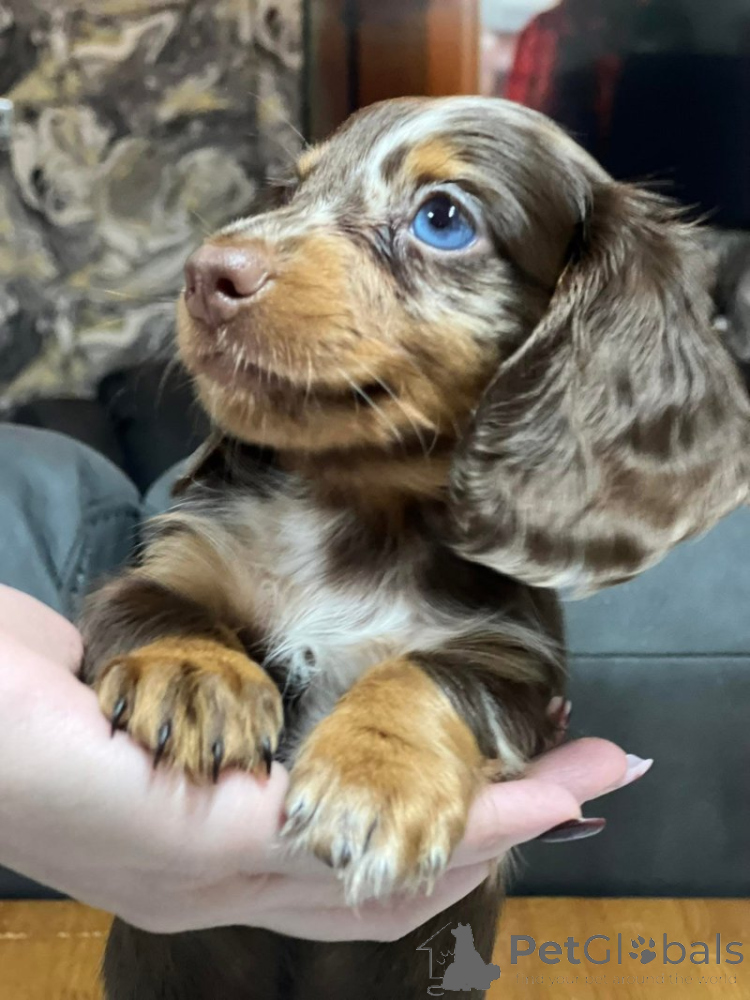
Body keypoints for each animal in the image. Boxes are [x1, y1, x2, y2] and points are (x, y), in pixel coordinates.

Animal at [80, 96, 750, 999]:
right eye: (289, 191)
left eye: (443, 218)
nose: (204, 274)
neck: (355, 509)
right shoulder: (172, 561)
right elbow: (148, 601)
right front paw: (191, 676)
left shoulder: (517, 659)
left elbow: (429, 672)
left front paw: (373, 778)